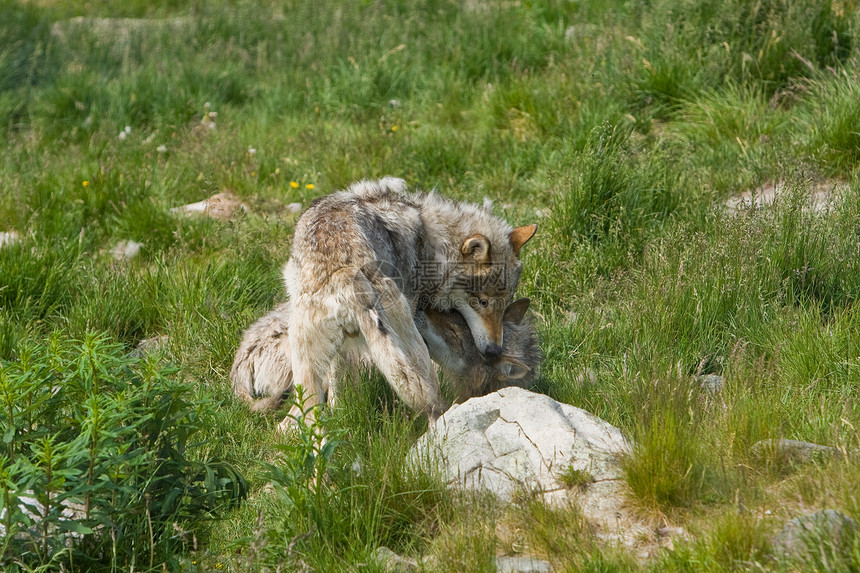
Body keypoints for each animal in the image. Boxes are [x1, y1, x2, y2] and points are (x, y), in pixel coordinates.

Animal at [282, 177, 536, 422]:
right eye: (483, 302)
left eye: (504, 304)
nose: (494, 351)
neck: (432, 241)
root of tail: (346, 272)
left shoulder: (342, 349)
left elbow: (337, 388)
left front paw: (339, 412)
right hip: (415, 345)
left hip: (306, 370)